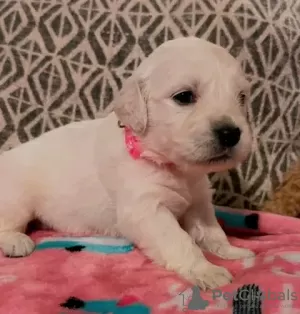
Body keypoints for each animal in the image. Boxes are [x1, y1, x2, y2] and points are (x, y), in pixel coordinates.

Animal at [0, 36, 254, 290]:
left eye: (242, 97)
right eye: (184, 96)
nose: (231, 133)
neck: (175, 168)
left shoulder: (199, 202)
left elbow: (211, 230)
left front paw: (231, 251)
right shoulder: (146, 208)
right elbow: (179, 239)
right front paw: (207, 270)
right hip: (16, 199)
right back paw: (16, 241)